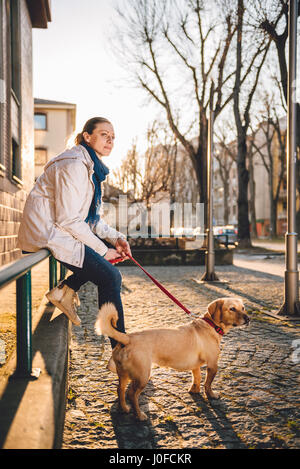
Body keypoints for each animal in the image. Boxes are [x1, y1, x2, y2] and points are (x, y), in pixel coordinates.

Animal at [95, 296, 250, 420]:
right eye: (232, 309)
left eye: (243, 308)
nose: (248, 319)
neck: (210, 325)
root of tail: (127, 338)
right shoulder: (212, 365)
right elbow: (208, 384)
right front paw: (212, 395)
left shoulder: (196, 366)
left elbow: (197, 378)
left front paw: (194, 390)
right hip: (142, 376)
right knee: (132, 394)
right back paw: (139, 416)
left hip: (124, 374)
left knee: (120, 390)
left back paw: (124, 409)